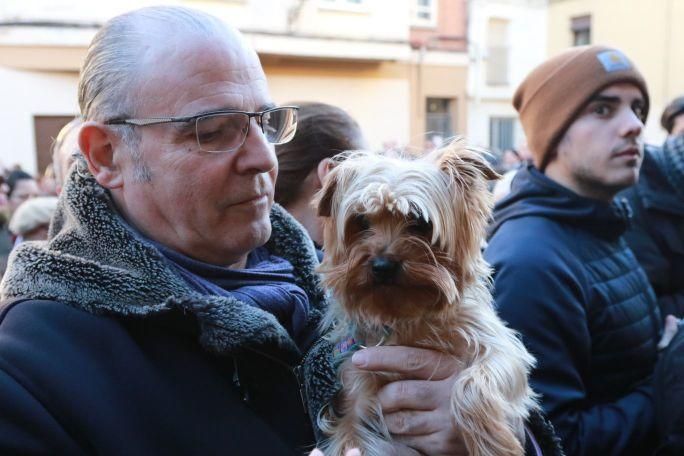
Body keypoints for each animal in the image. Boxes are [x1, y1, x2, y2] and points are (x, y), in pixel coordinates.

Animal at [314, 139, 536, 456]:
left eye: (419, 222)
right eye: (362, 221)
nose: (382, 265)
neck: (406, 316)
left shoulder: (499, 347)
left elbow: (471, 384)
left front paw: (493, 443)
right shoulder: (355, 383)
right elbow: (352, 432)